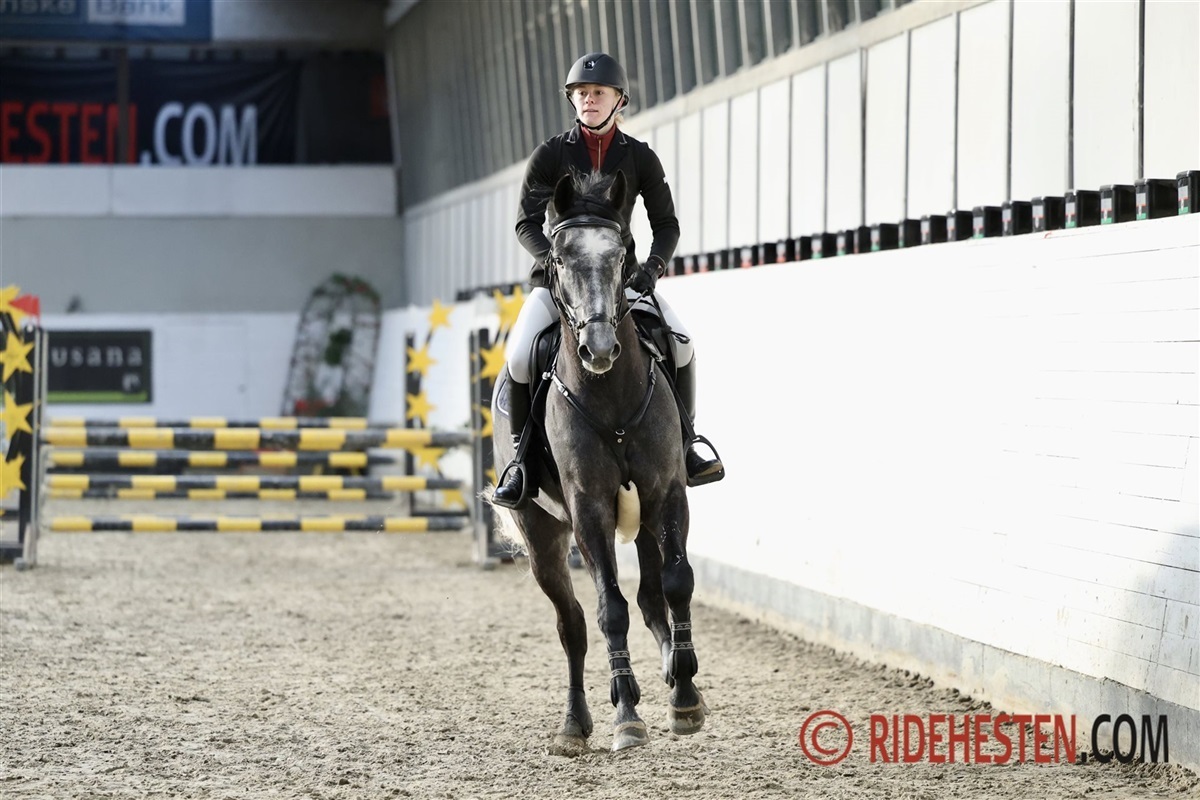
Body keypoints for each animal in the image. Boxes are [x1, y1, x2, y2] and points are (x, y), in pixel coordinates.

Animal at [487, 169, 706, 753]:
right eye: (560, 258)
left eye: (622, 253)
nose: (599, 348)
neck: (610, 394)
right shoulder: (589, 510)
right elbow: (610, 609)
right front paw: (627, 714)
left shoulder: (665, 493)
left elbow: (677, 584)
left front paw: (685, 696)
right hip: (542, 535)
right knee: (574, 625)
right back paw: (574, 724)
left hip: (645, 522)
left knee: (653, 597)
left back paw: (673, 673)